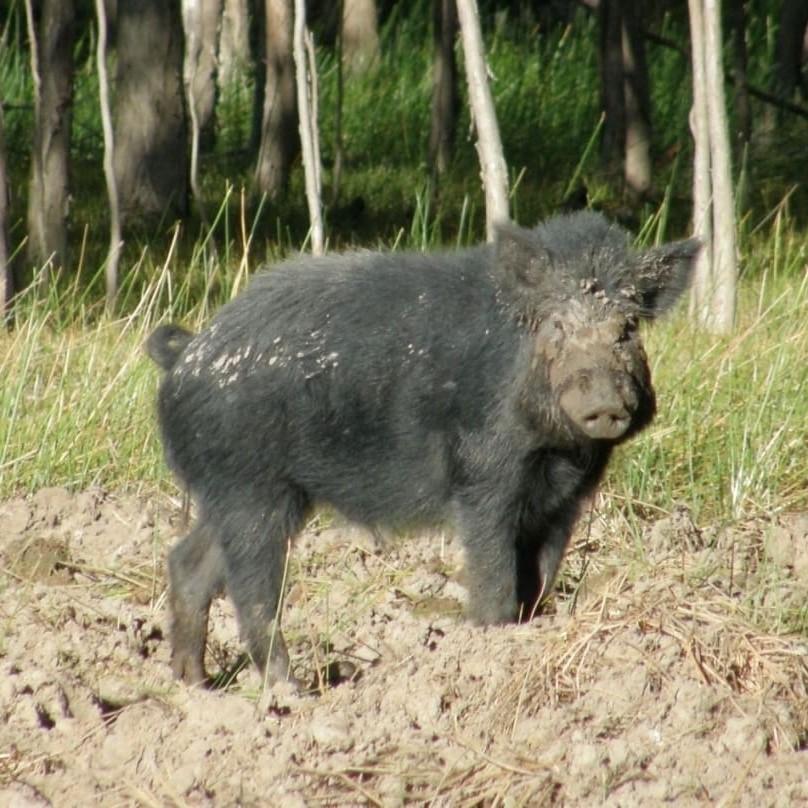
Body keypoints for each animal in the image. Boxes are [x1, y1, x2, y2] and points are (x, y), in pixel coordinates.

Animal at [148, 211, 696, 684]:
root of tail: (187, 354)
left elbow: (539, 584)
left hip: (236, 494)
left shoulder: (565, 501)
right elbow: (496, 582)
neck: (554, 450)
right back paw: (291, 690)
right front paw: (490, 640)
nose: (604, 404)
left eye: (627, 329)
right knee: (253, 592)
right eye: (558, 326)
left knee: (188, 564)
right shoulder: (482, 478)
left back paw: (195, 685)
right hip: (252, 489)